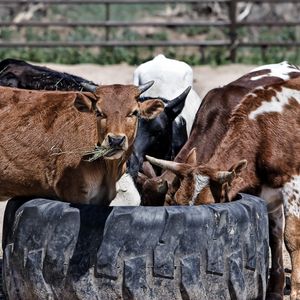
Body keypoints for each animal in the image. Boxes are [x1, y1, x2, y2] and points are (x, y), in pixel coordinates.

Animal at [147, 75, 300, 300]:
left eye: (211, 204)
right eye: (176, 202)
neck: (264, 132)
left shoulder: (292, 185)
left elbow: (291, 237)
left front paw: (296, 290)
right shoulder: (268, 195)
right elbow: (274, 237)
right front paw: (275, 290)